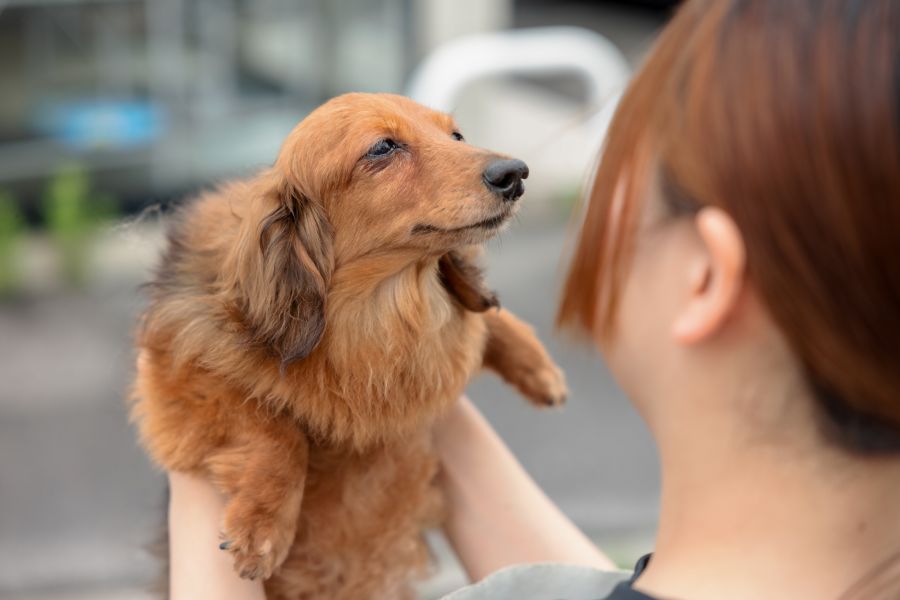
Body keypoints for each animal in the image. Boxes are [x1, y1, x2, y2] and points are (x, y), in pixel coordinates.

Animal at [130, 94, 568, 600]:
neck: (378, 312)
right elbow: (276, 433)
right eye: (382, 147)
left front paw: (538, 367)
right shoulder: (175, 379)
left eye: (456, 135)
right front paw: (263, 525)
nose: (515, 173)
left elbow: (483, 321)